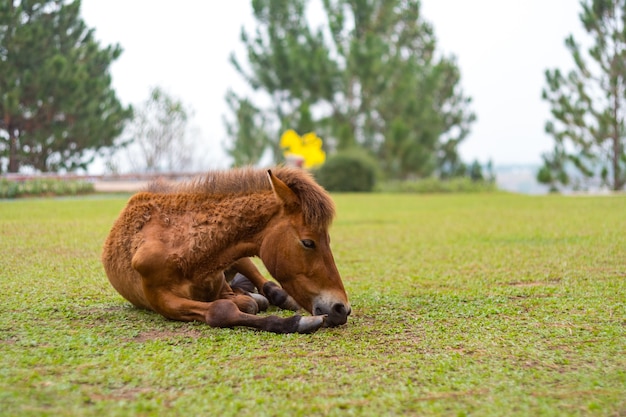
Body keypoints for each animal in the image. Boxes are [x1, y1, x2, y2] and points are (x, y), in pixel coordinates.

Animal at [100, 167, 348, 334]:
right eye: (308, 242)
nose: (341, 309)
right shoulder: (161, 299)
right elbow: (222, 310)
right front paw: (299, 322)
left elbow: (246, 302)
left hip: (240, 259)